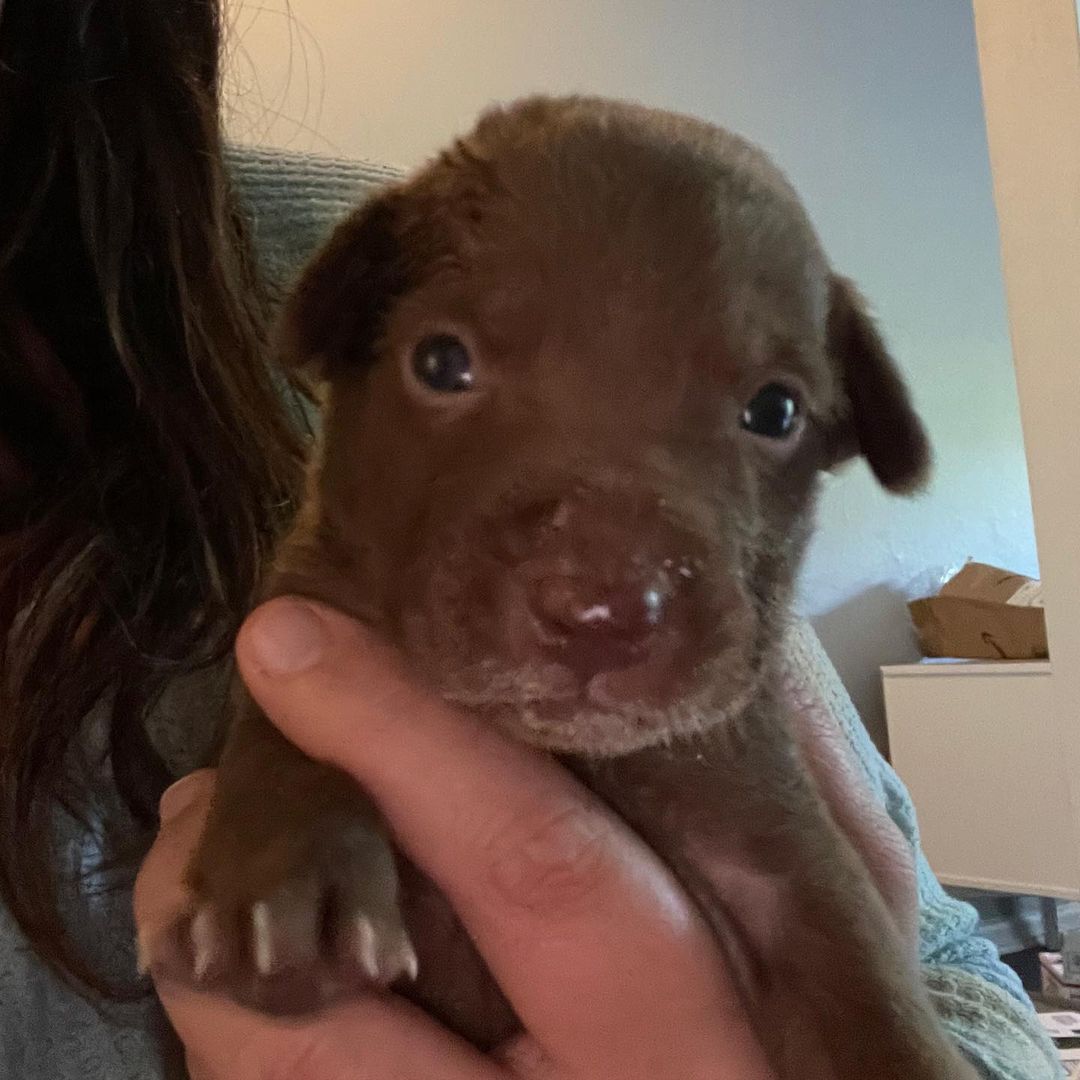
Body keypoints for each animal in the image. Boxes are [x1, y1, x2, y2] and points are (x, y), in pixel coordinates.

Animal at [172, 97, 967, 1075]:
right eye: (440, 362)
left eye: (775, 410)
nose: (604, 612)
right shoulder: (306, 610)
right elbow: (279, 726)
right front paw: (284, 887)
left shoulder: (771, 837)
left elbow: (859, 976)